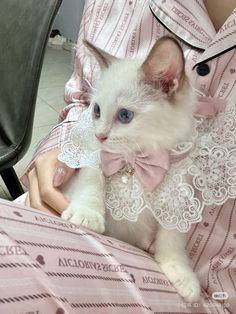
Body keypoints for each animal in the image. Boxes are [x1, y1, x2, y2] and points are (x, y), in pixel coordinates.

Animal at [61, 36, 201, 302]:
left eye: (124, 115)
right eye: (96, 111)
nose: (99, 135)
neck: (134, 163)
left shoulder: (176, 197)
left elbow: (173, 237)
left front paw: (181, 274)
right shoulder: (94, 157)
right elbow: (91, 180)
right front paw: (87, 214)